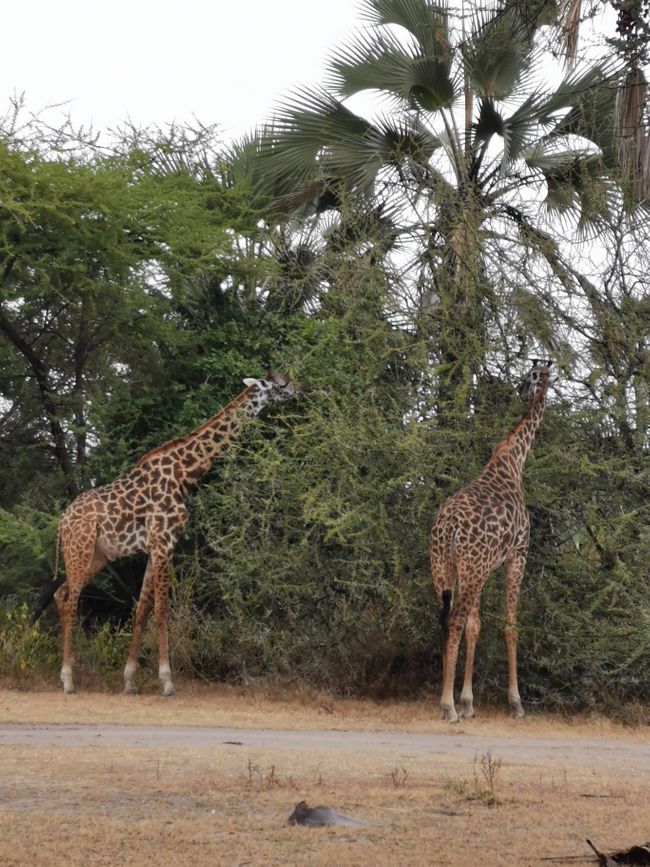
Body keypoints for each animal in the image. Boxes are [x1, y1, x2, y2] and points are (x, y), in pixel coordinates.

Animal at [53, 370, 304, 696]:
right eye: (282, 383)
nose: (302, 389)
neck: (185, 473)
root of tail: (62, 521)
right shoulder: (164, 543)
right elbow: (162, 609)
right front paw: (167, 680)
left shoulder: (154, 547)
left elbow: (142, 609)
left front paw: (129, 679)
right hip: (80, 549)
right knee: (72, 600)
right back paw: (69, 679)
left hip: (98, 556)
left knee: (61, 594)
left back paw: (66, 674)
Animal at [428, 356, 548, 724]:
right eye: (530, 376)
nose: (521, 390)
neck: (514, 460)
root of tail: (449, 526)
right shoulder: (518, 554)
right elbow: (510, 624)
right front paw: (515, 702)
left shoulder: (485, 567)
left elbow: (476, 625)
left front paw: (469, 701)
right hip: (471, 567)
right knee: (453, 619)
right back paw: (447, 707)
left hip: (445, 566)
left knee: (445, 619)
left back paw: (448, 702)